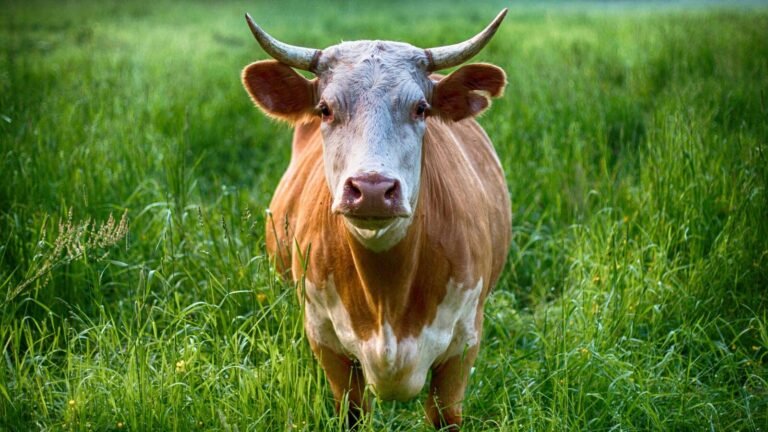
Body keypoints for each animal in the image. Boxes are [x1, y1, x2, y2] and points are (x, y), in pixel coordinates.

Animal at [241, 9, 512, 430]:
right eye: (325, 109)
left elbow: (445, 414)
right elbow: (351, 411)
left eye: (421, 108)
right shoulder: (326, 342)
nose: (371, 188)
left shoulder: (463, 344)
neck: (387, 294)